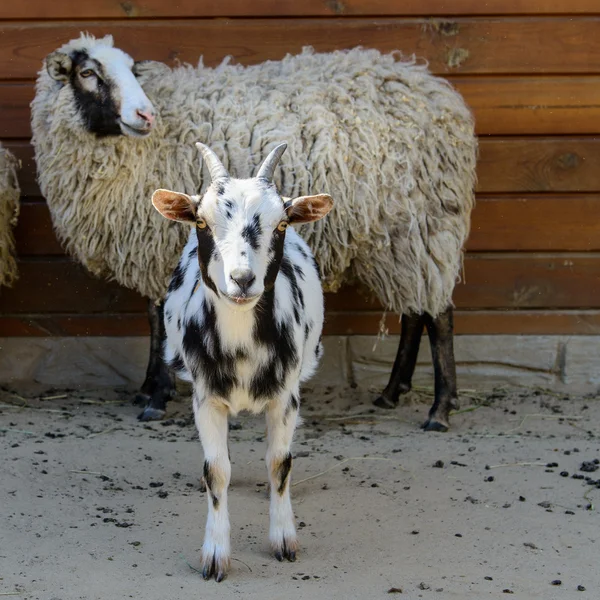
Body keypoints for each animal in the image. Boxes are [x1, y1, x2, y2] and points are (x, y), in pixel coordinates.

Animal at [31, 32, 478, 428]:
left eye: (132, 70)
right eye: (88, 72)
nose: (146, 115)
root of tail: (438, 92)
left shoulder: (155, 244)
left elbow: (158, 319)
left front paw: (156, 397)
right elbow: (154, 318)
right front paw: (148, 389)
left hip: (423, 223)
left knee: (439, 315)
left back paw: (439, 409)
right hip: (404, 239)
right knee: (416, 312)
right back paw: (391, 392)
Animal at [151, 142, 332, 580]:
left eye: (280, 224)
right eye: (201, 221)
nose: (242, 279)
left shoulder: (286, 397)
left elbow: (279, 463)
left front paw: (284, 540)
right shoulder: (206, 398)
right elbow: (216, 470)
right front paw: (215, 555)